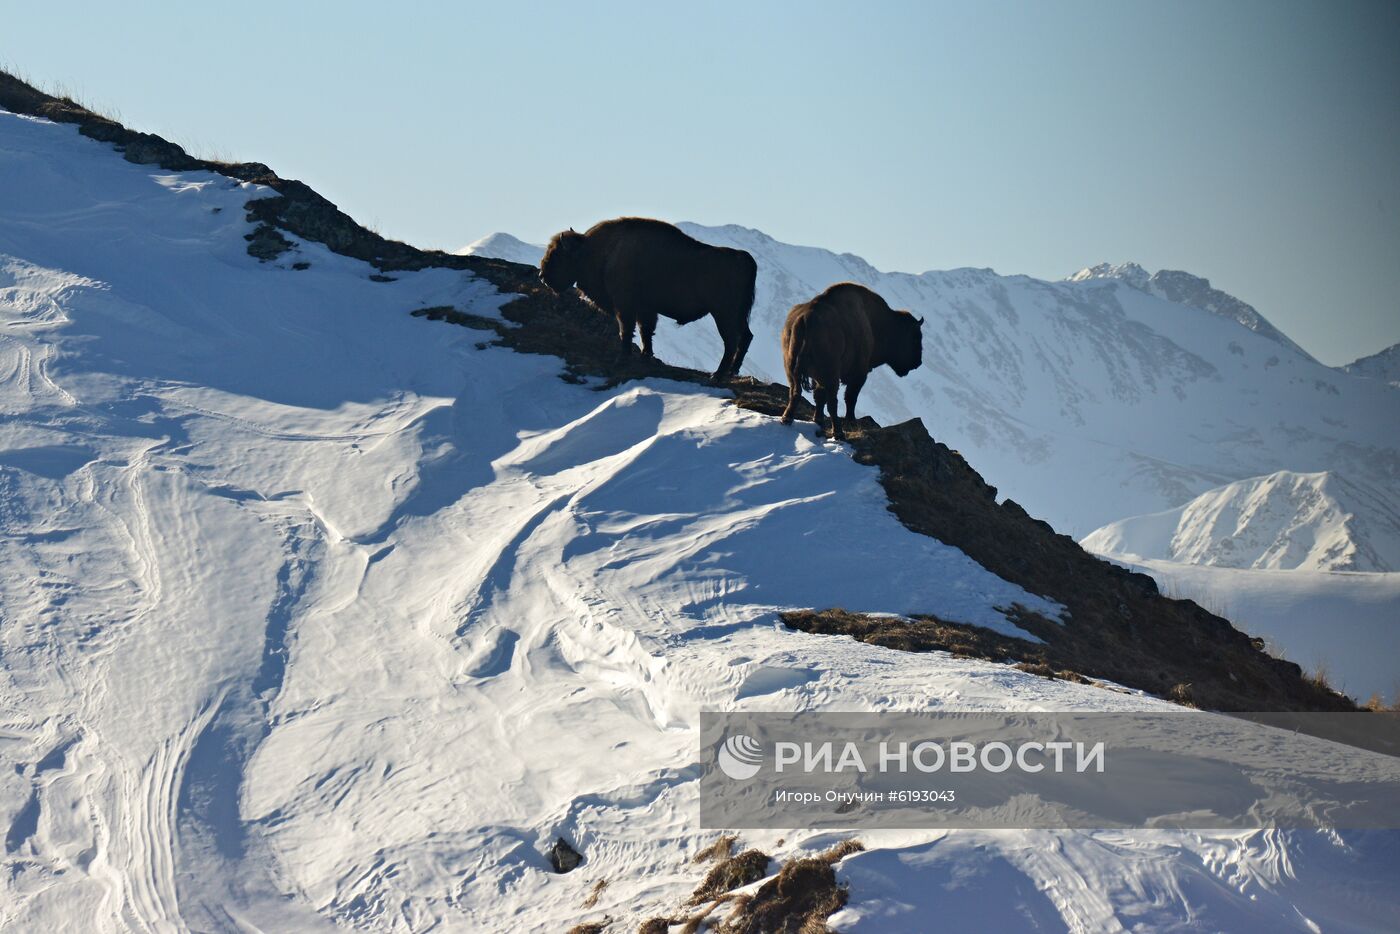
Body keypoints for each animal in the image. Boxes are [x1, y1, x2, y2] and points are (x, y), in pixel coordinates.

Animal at [537, 219, 761, 380]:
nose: (542, 276)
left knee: (731, 341)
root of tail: (744, 258)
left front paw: (623, 358)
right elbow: (646, 332)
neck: (599, 251)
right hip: (738, 314)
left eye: (557, 253)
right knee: (746, 337)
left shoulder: (625, 306)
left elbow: (627, 331)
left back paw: (717, 375)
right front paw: (646, 356)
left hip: (723, 314)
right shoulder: (646, 309)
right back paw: (731, 372)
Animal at [784, 281, 924, 442]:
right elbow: (850, 398)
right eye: (915, 337)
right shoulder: (859, 374)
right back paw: (839, 434)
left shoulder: (817, 378)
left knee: (796, 392)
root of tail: (807, 318)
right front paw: (850, 421)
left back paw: (786, 419)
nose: (918, 362)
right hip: (831, 375)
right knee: (832, 402)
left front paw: (817, 420)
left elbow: (819, 397)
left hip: (792, 369)